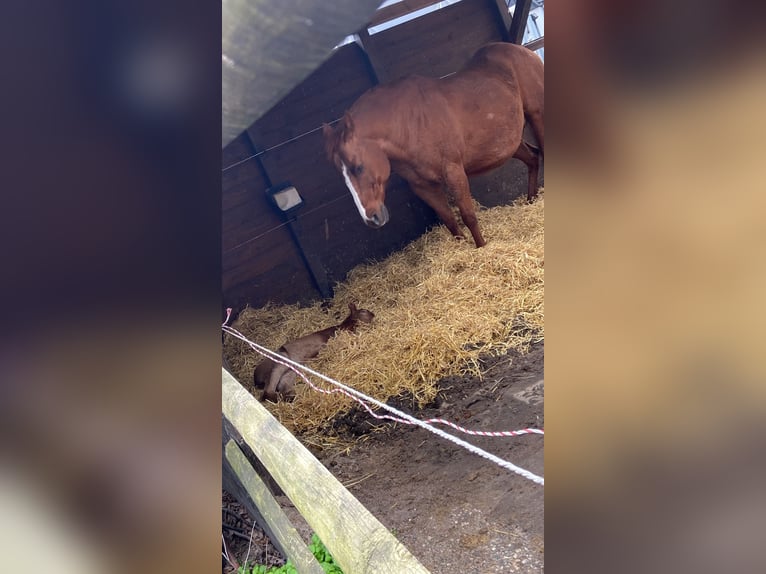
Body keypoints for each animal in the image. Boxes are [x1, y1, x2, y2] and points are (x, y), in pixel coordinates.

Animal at [324, 40, 544, 248]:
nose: (371, 218)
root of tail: (525, 50)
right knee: (533, 158)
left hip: (537, 116)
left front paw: (483, 248)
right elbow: (450, 221)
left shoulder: (454, 172)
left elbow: (468, 216)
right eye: (342, 176)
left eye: (358, 167)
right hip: (510, 144)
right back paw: (531, 200)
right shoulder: (423, 187)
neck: (408, 125)